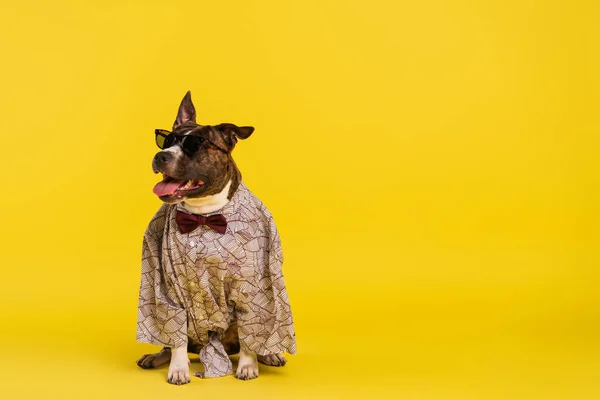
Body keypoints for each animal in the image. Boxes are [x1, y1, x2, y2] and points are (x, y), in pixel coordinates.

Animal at [135, 91, 296, 384]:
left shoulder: (252, 287)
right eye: (167, 140)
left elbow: (250, 332)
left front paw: (248, 366)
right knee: (172, 341)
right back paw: (157, 357)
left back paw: (270, 355)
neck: (205, 215)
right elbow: (175, 335)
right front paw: (178, 369)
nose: (160, 155)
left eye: (194, 145)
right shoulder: (168, 287)